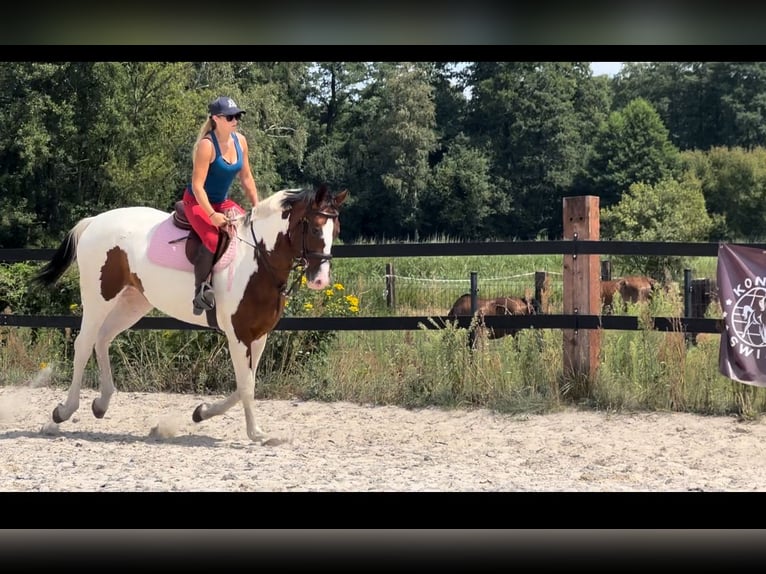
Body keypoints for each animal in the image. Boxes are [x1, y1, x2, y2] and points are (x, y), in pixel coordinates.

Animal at [32, 187, 348, 444]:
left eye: (336, 231)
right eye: (315, 229)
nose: (321, 280)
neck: (259, 260)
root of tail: (95, 222)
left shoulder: (259, 336)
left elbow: (246, 383)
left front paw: (202, 412)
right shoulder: (238, 336)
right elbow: (246, 385)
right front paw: (257, 434)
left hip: (133, 301)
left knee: (103, 339)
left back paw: (101, 403)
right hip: (99, 298)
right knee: (84, 344)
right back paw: (62, 412)